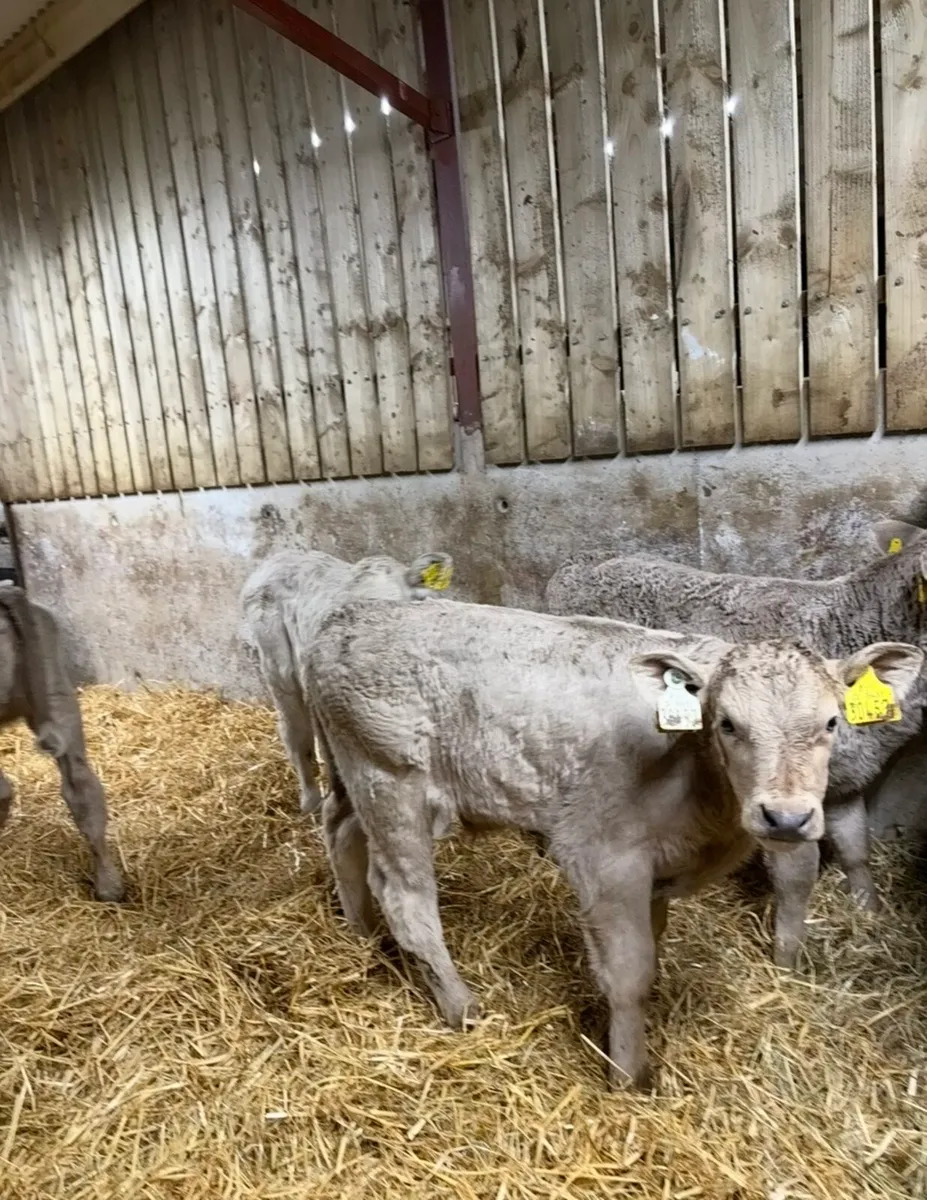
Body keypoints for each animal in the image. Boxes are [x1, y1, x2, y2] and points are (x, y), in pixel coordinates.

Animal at [298, 593, 922, 1089]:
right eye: (727, 723)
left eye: (832, 722)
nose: (786, 818)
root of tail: (349, 615)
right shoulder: (605, 858)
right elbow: (630, 974)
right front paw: (629, 1076)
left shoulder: (655, 875)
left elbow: (653, 949)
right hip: (391, 783)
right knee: (407, 898)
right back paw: (461, 1007)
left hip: (355, 781)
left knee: (340, 831)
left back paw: (360, 936)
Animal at [544, 520, 927, 959]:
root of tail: (579, 559)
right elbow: (797, 877)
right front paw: (787, 959)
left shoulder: (843, 781)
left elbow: (855, 848)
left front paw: (869, 911)